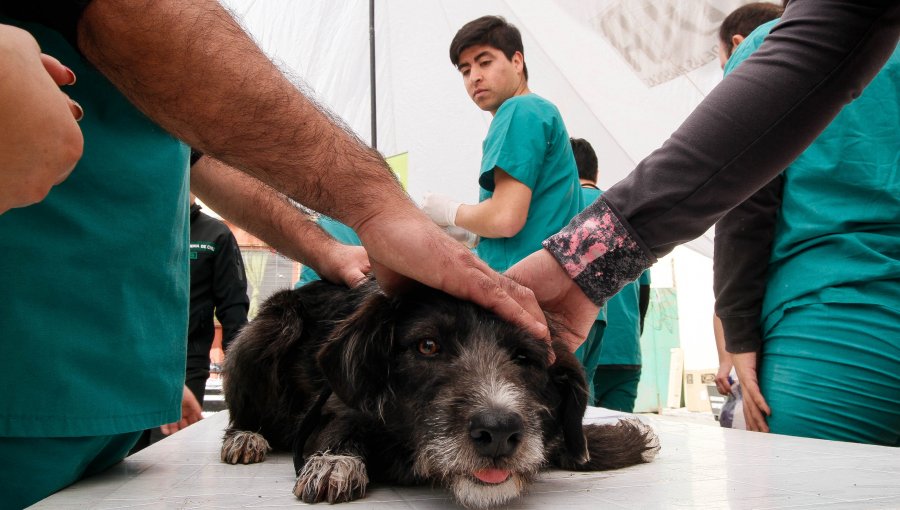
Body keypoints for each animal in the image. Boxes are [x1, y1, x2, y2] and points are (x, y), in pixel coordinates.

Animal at [223, 280, 660, 508]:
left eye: (525, 357)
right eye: (428, 346)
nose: (498, 432)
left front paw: (618, 442)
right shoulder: (338, 400)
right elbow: (341, 427)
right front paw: (335, 463)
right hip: (270, 327)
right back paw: (245, 436)